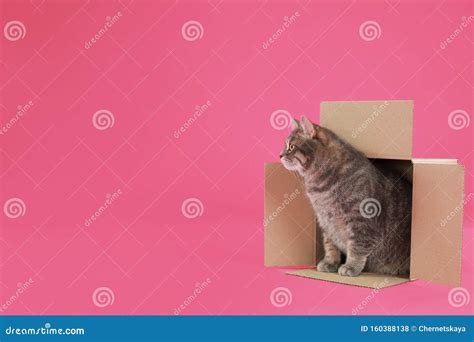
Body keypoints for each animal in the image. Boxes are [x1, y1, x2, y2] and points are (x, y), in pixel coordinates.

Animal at [282, 116, 412, 276]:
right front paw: (330, 262)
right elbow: (330, 245)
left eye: (291, 147)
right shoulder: (325, 221)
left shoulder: (361, 220)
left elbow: (357, 247)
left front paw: (351, 266)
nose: (280, 155)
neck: (320, 187)